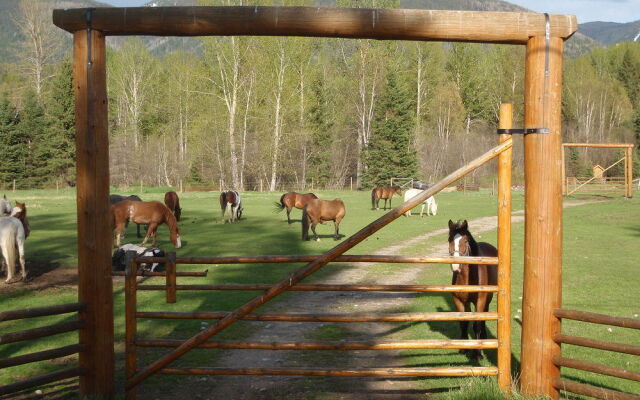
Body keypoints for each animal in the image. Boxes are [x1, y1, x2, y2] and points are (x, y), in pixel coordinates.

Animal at [448, 220, 498, 360]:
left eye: (465, 241)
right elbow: (464, 323)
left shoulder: (479, 301)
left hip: (487, 297)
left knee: (484, 316)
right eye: (449, 240)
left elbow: (477, 325)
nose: (455, 266)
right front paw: (463, 349)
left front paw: (478, 353)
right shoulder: (459, 301)